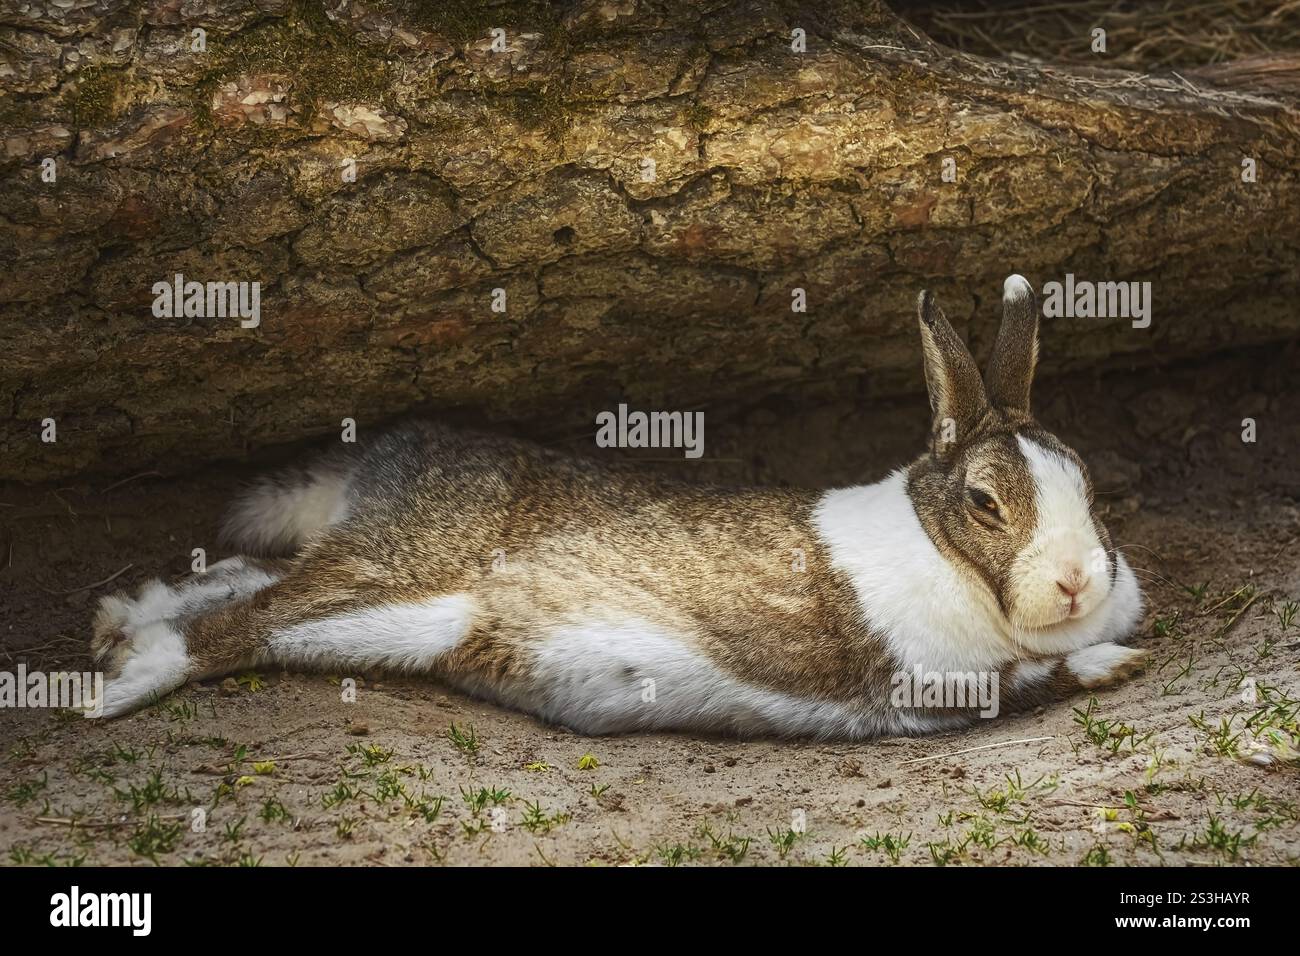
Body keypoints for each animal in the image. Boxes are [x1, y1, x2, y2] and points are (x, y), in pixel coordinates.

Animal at [87, 274, 1147, 736]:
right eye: (985, 501)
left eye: (1088, 481)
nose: (1078, 582)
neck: (945, 553)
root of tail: (385, 462)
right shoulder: (934, 679)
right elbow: (1034, 679)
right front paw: (1115, 661)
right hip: (400, 589)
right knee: (243, 624)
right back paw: (117, 686)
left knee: (245, 578)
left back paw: (116, 623)